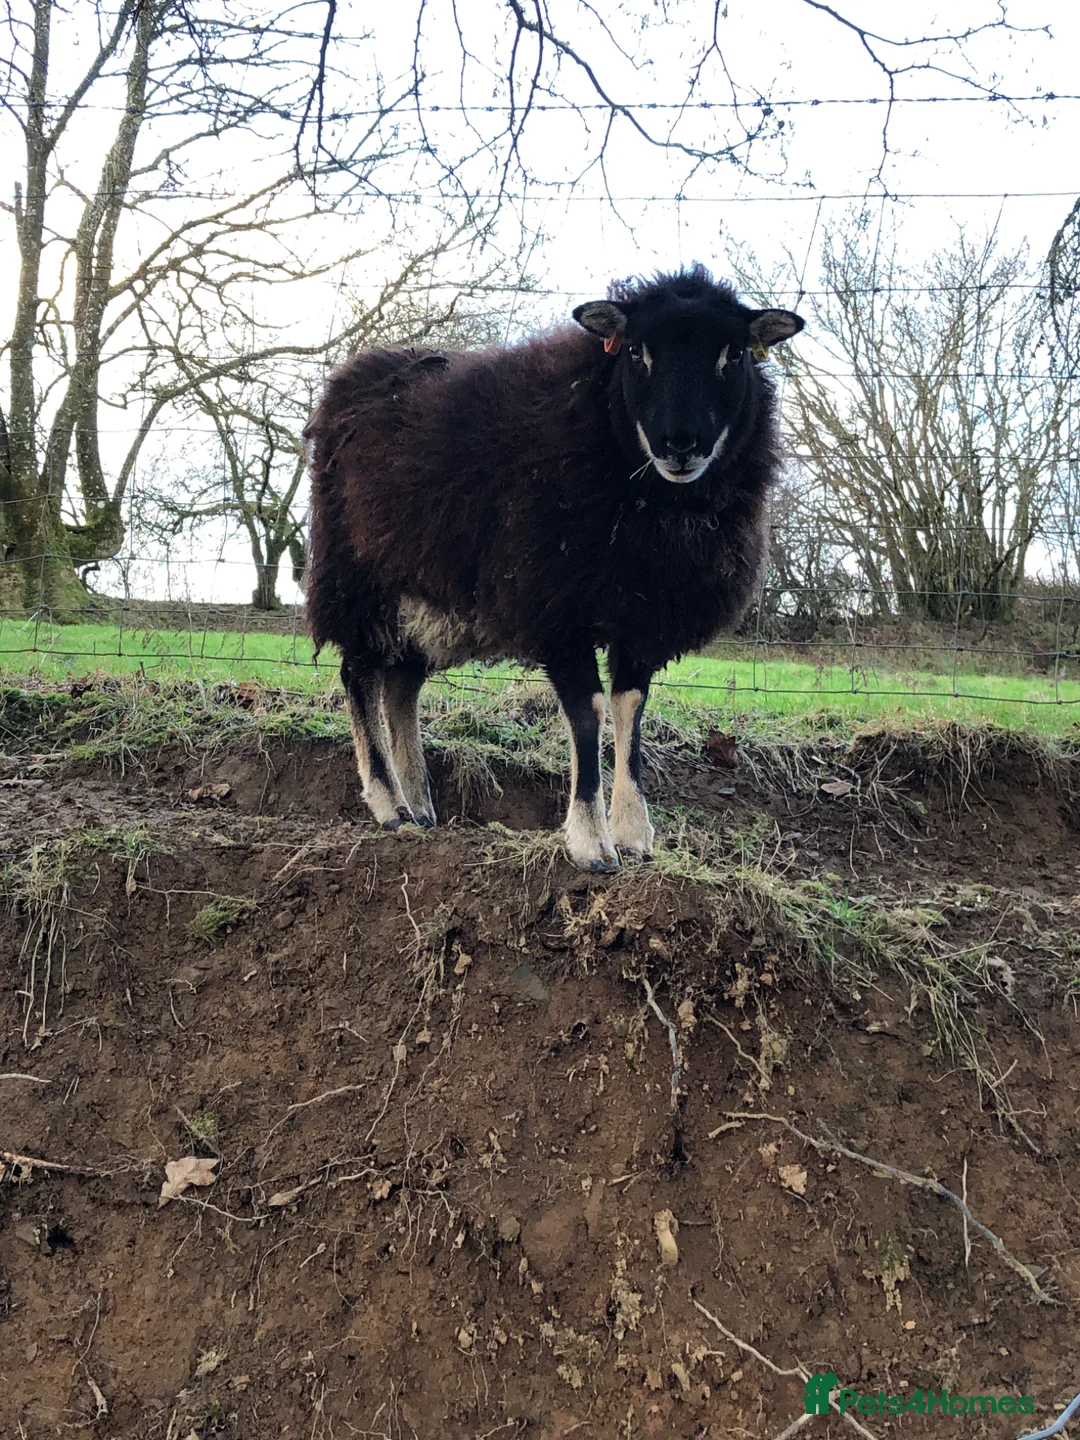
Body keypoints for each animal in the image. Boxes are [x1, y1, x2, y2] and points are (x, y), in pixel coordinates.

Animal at [304, 264, 804, 871]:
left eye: (732, 354)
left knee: (401, 684)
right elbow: (587, 712)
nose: (679, 445)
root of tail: (350, 375)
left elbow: (630, 709)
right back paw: (387, 802)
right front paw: (590, 842)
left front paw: (634, 832)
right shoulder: (558, 607)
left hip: (429, 595)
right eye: (635, 351)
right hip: (358, 577)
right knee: (359, 676)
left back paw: (420, 804)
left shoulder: (642, 616)